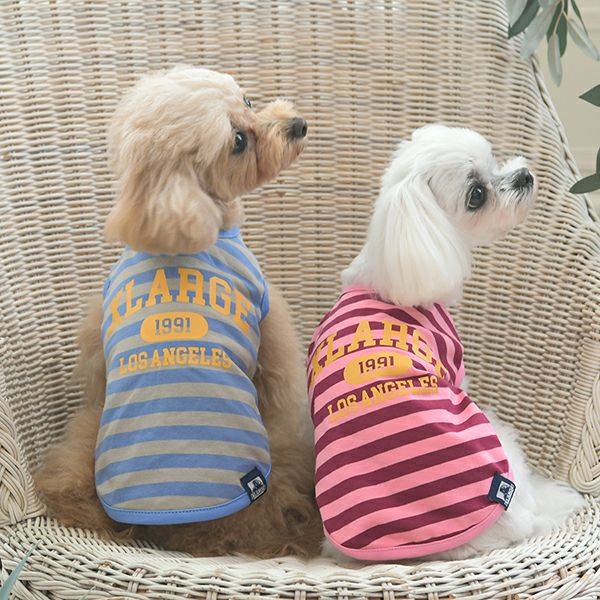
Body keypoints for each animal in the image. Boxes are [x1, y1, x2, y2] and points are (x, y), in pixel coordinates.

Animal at [35, 66, 323, 558]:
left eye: (247, 101)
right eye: (238, 143)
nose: (298, 125)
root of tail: (175, 528)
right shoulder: (270, 326)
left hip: (89, 429)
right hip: (276, 456)